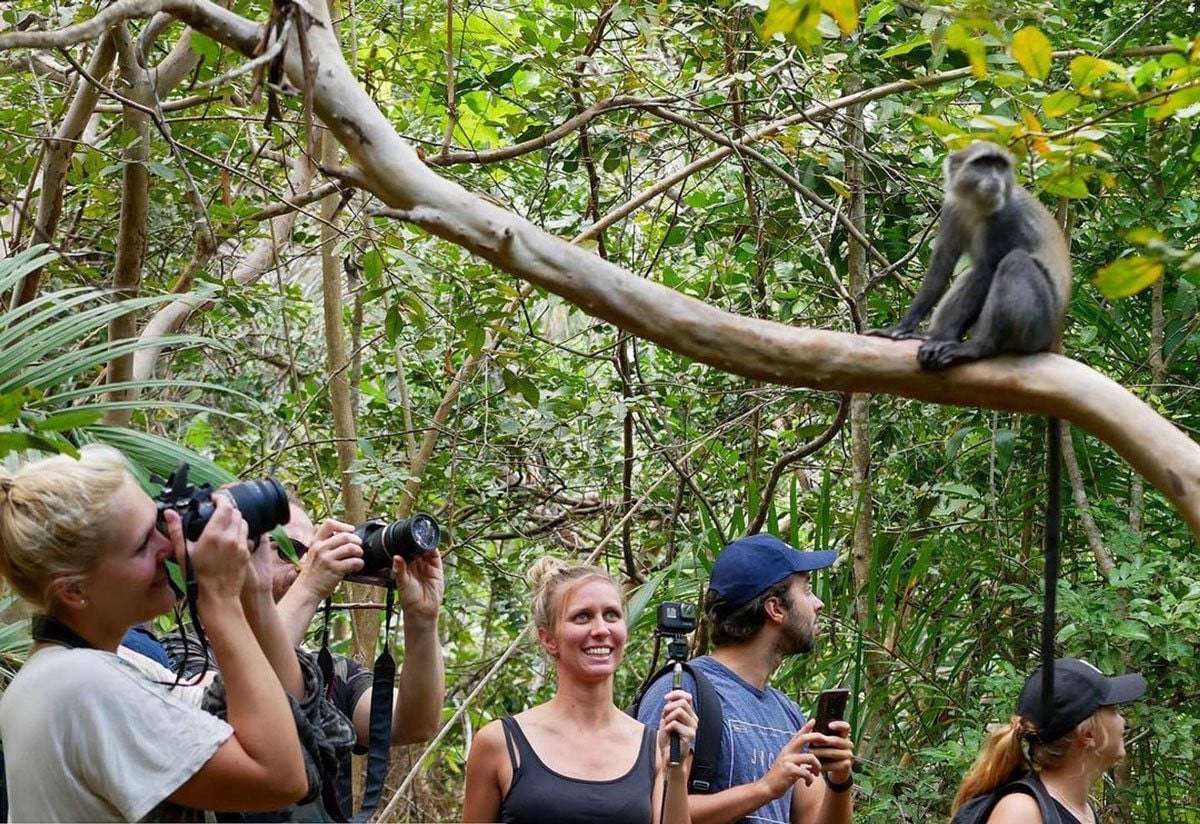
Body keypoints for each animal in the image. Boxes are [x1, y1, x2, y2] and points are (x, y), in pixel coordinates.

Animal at [868, 141, 1075, 371]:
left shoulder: (1004, 219)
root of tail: (1054, 337)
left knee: (1015, 263)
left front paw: (947, 341)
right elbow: (943, 264)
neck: (976, 207)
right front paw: (902, 328)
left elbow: (986, 272)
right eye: (983, 164)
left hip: (1038, 330)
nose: (995, 179)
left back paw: (980, 347)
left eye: (1000, 166)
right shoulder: (952, 209)